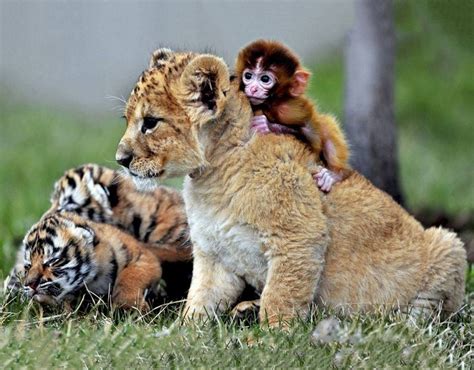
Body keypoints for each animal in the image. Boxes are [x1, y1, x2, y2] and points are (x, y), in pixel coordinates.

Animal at [236, 39, 350, 191]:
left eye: (265, 79)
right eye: (248, 76)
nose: (253, 88)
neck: (270, 104)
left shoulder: (290, 110)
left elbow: (314, 142)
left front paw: (266, 125)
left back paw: (335, 175)